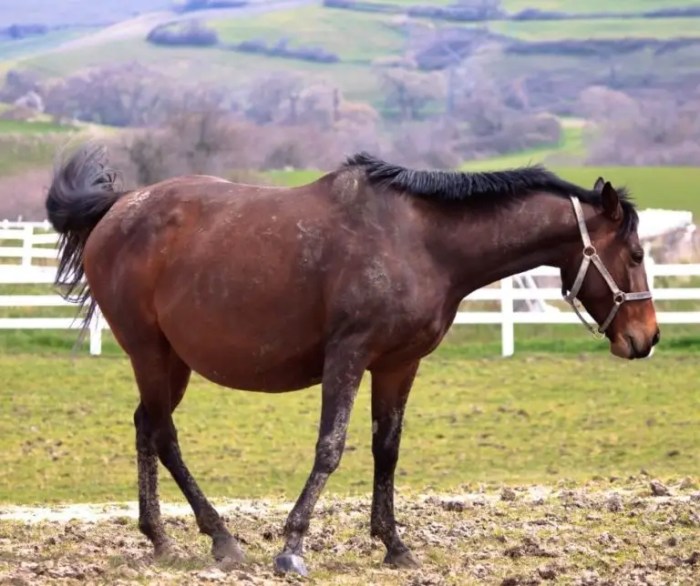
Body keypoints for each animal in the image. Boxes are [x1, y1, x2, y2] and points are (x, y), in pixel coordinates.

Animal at [46, 145, 660, 576]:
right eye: (634, 253)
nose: (646, 338)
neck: (421, 242)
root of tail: (118, 207)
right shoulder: (347, 357)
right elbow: (331, 448)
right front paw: (292, 547)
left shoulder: (397, 365)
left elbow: (386, 450)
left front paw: (394, 545)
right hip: (149, 352)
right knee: (164, 435)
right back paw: (217, 537)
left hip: (173, 360)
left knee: (146, 428)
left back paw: (163, 536)